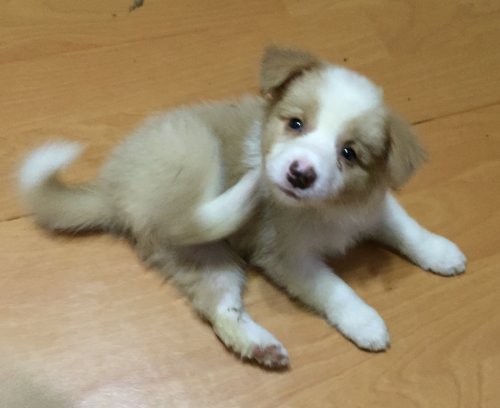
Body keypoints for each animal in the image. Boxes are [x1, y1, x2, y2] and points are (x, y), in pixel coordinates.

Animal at [19, 46, 466, 368]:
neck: (330, 208)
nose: (299, 174)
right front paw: (365, 321)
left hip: (204, 258)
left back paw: (260, 346)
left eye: (349, 153)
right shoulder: (289, 258)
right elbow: (335, 288)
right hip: (193, 149)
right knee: (191, 216)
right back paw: (248, 188)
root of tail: (113, 189)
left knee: (220, 309)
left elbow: (407, 227)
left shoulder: (371, 206)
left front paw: (441, 252)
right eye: (296, 124)